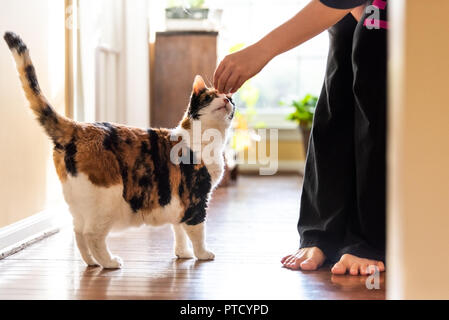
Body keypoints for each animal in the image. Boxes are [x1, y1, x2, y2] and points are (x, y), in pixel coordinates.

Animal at [4, 31, 234, 268]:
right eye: (210, 96)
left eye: (231, 99)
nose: (227, 99)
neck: (207, 138)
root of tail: (79, 127)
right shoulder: (196, 197)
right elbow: (197, 231)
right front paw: (203, 254)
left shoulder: (180, 202)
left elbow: (178, 229)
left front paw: (183, 253)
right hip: (107, 198)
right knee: (92, 234)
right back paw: (110, 262)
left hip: (79, 203)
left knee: (78, 232)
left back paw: (92, 262)